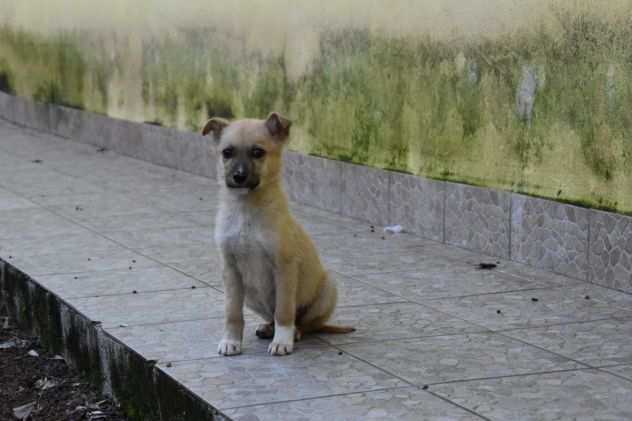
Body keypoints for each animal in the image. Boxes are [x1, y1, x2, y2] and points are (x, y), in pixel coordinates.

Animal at [201, 110, 354, 354]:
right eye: (227, 153)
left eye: (258, 152)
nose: (239, 177)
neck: (246, 209)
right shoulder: (231, 270)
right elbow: (232, 312)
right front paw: (231, 341)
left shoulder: (284, 267)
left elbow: (284, 311)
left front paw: (282, 341)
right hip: (250, 295)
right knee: (272, 317)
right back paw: (267, 328)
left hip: (328, 289)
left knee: (306, 323)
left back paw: (294, 332)